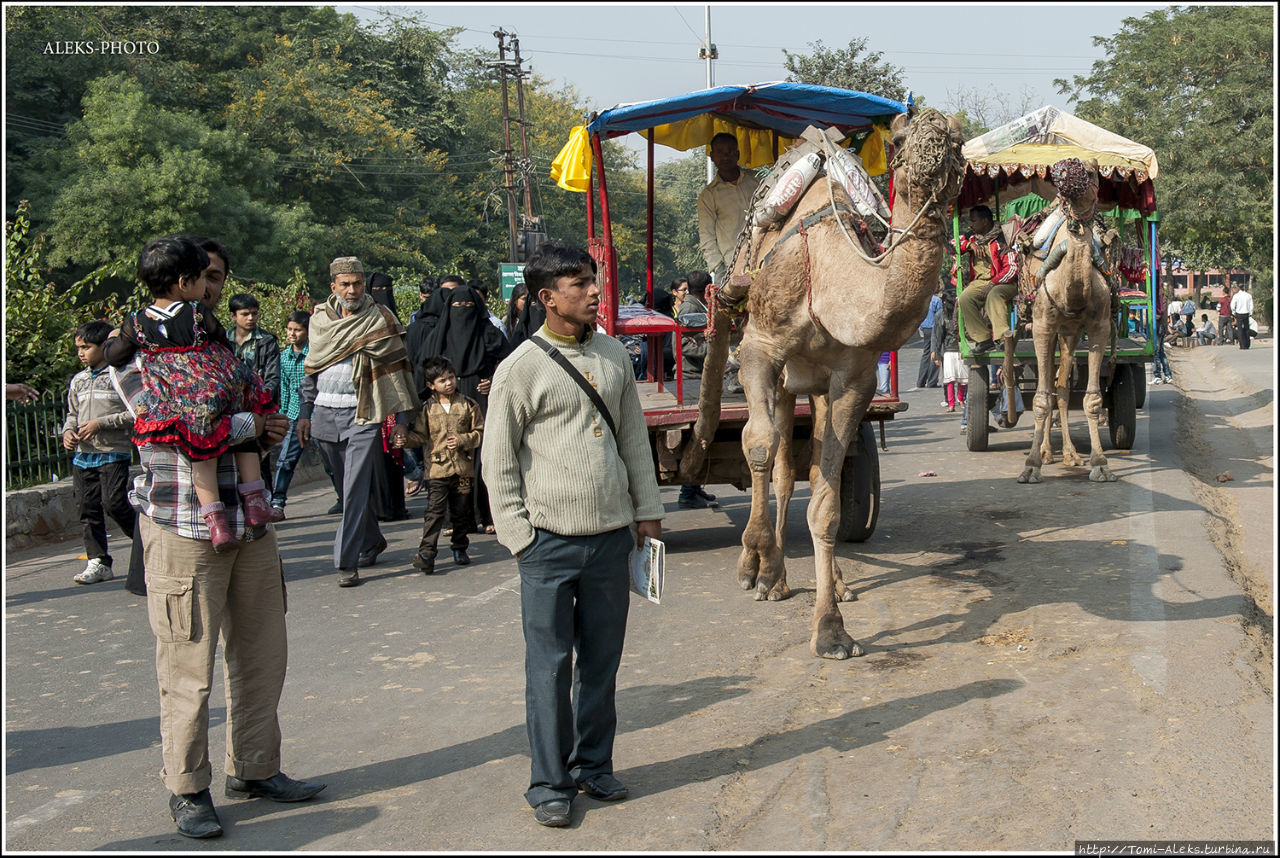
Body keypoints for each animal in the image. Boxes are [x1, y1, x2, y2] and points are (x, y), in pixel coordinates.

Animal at [680, 105, 962, 660]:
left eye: (960, 141)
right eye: (898, 138)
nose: (936, 130)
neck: (828, 277)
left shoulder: (854, 378)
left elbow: (828, 499)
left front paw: (831, 630)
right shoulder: (760, 348)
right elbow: (757, 445)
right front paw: (756, 561)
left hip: (810, 385)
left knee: (801, 468)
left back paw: (830, 581)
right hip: (769, 361)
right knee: (772, 456)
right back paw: (769, 573)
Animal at [1018, 158, 1121, 486]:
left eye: (1091, 171)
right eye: (1061, 167)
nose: (1064, 170)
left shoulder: (1099, 326)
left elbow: (1091, 400)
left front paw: (1100, 464)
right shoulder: (1041, 326)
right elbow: (1040, 399)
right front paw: (1030, 467)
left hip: (1070, 333)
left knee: (1061, 387)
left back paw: (1069, 454)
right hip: (1051, 329)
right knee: (1049, 387)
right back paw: (1047, 453)